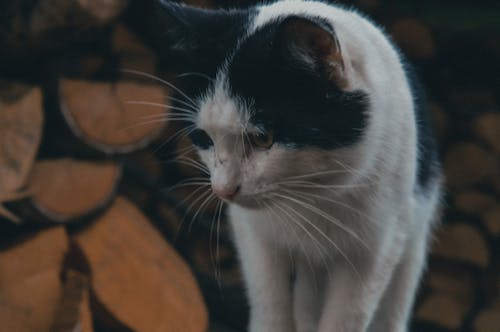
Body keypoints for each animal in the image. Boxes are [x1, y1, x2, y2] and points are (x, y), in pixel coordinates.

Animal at [132, 0, 442, 332]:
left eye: (263, 138)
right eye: (204, 137)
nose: (223, 190)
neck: (310, 196)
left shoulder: (375, 248)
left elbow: (346, 316)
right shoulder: (254, 234)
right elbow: (270, 304)